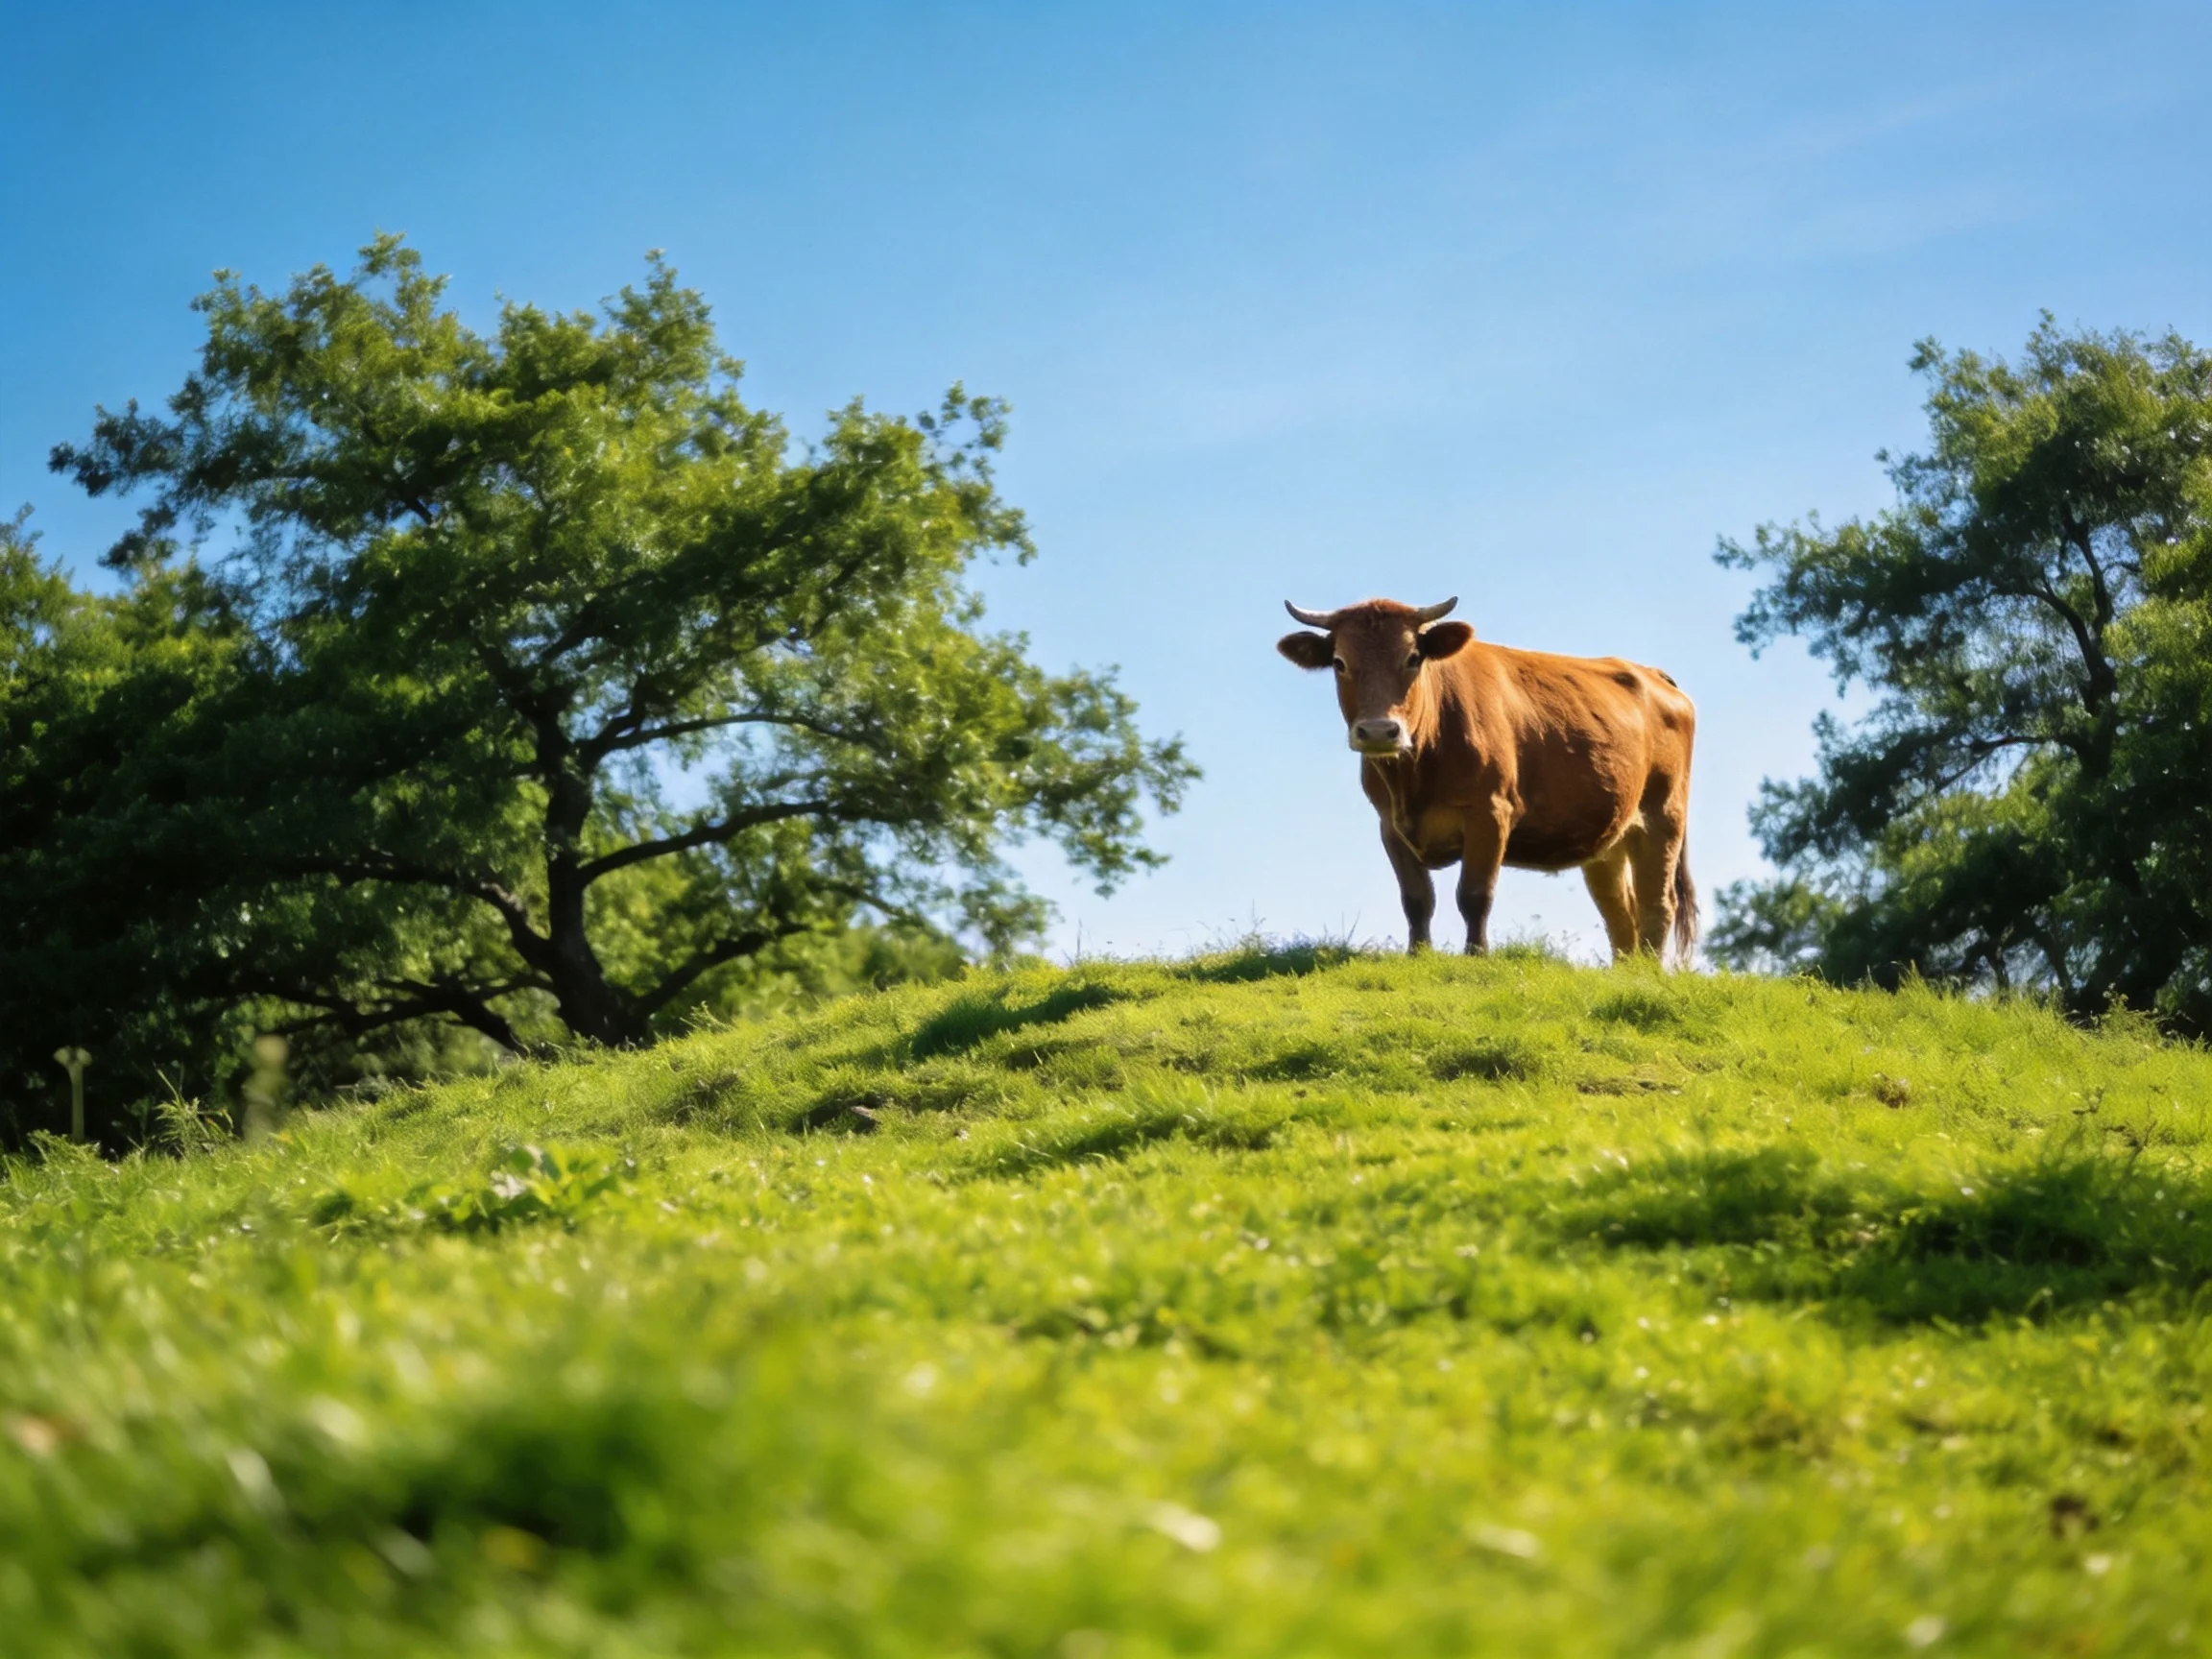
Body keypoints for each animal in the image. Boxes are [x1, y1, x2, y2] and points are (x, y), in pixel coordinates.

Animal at [1276, 596, 1698, 964]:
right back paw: (1627, 972)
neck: (1415, 777)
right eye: (1339, 662)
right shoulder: (1389, 824)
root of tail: (1651, 674)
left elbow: (1475, 894)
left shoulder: (1490, 812)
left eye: (1413, 658)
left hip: (1663, 817)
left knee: (1657, 903)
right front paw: (1418, 955)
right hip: (1608, 838)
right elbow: (1416, 899)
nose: (1380, 731)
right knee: (1619, 909)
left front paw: (1476, 955)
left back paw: (1649, 972)